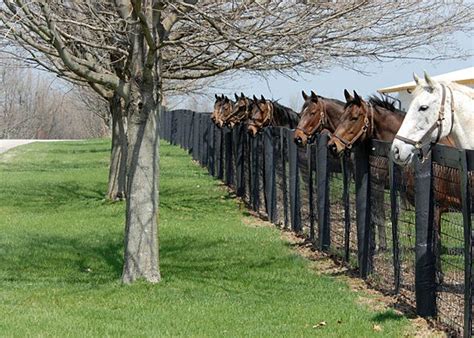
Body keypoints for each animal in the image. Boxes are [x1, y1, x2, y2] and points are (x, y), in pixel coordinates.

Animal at [328, 89, 462, 282]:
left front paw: (438, 276)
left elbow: (434, 242)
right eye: (341, 117)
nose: (332, 145)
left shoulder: (435, 208)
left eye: (354, 117)